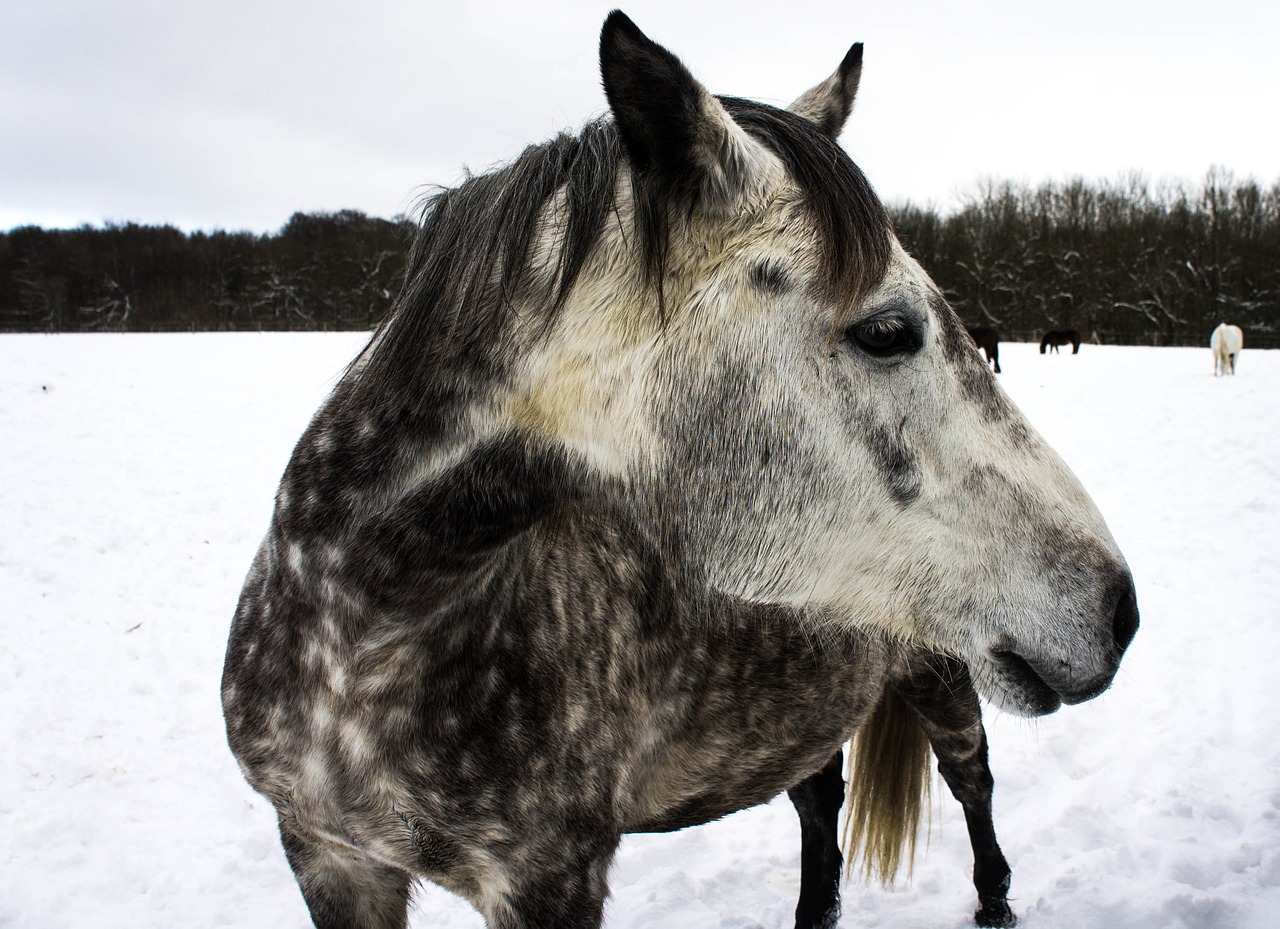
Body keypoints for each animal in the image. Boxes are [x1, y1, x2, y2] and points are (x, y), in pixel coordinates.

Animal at [222, 9, 1141, 929]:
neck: (364, 636)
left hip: (942, 674)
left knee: (971, 781)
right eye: (886, 331)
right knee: (823, 800)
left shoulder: (548, 875)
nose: (1118, 609)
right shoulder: (329, 856)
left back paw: (994, 904)